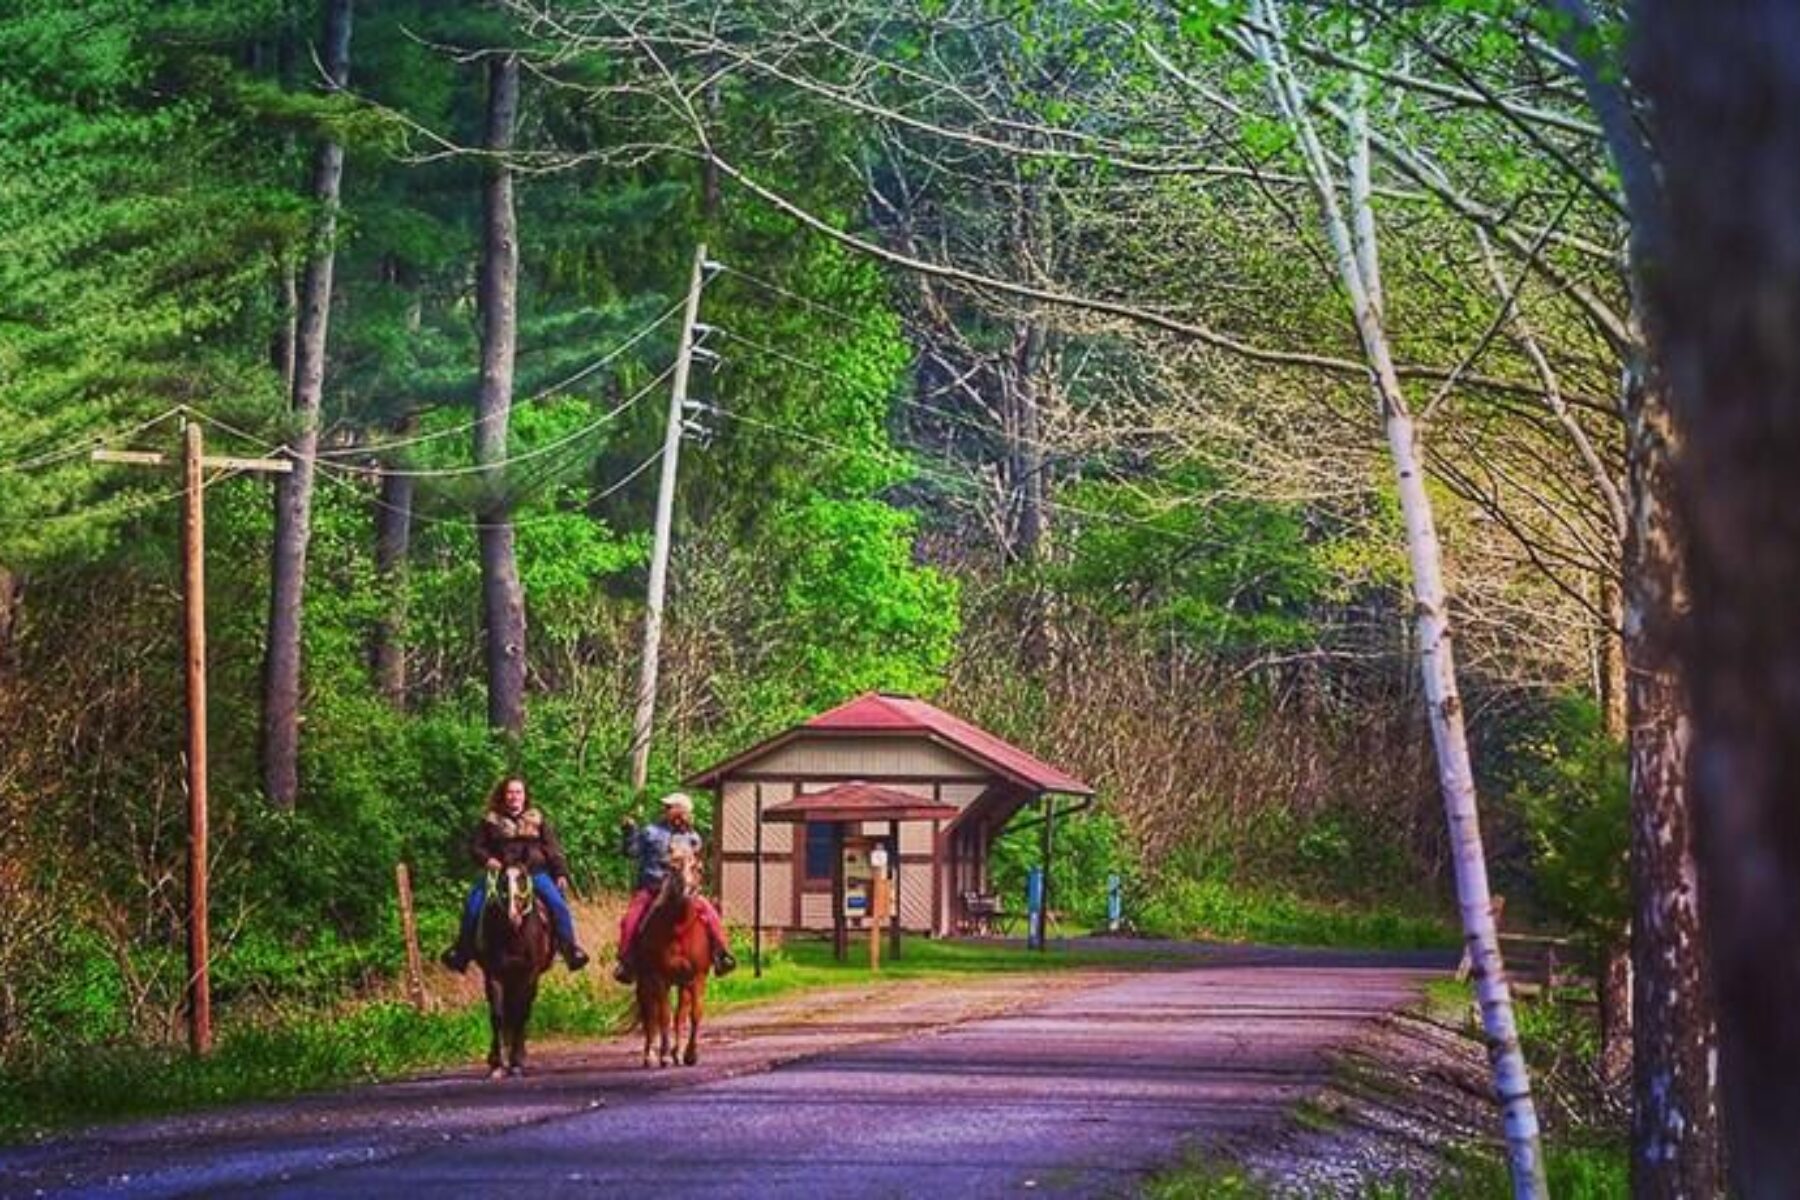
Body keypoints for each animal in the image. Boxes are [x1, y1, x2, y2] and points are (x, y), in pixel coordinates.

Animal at [475, 863, 550, 1079]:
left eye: (523, 879)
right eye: (502, 881)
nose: (513, 916)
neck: (513, 936)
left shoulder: (529, 975)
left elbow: (520, 1014)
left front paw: (516, 1063)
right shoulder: (494, 975)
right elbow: (497, 1016)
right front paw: (497, 1065)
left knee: (522, 1013)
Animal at [633, 845, 709, 1072]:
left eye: (698, 868)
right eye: (673, 868)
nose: (688, 892)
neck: (679, 931)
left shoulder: (697, 976)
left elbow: (693, 1014)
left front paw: (690, 1055)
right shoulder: (659, 977)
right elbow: (663, 1016)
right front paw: (664, 1056)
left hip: (681, 983)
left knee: (679, 1014)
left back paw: (676, 1053)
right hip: (645, 980)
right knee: (650, 1014)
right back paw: (651, 1055)